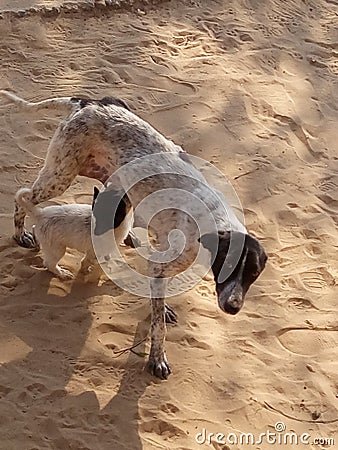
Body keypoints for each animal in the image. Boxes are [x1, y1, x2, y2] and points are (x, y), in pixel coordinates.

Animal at [1, 89, 268, 378]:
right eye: (227, 266)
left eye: (253, 273)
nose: (233, 307)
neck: (213, 219)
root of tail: (87, 103)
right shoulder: (162, 266)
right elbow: (158, 325)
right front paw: (157, 356)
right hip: (59, 176)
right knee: (22, 197)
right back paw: (21, 233)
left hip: (115, 185)